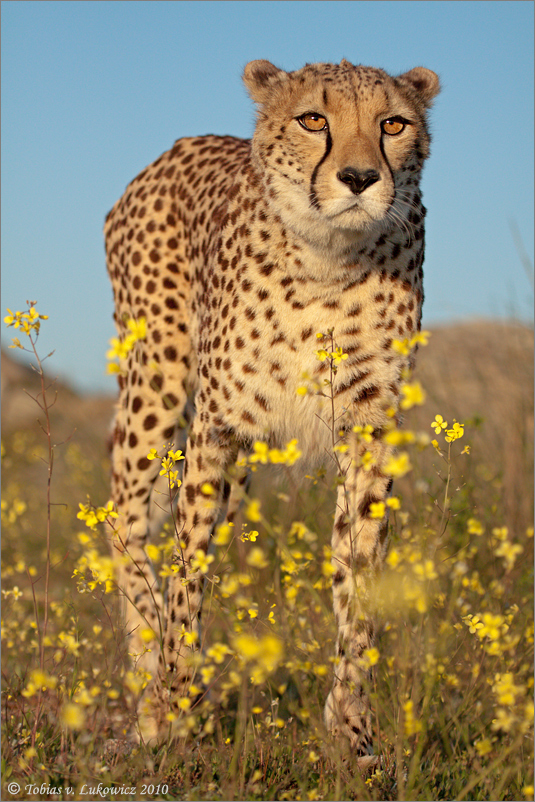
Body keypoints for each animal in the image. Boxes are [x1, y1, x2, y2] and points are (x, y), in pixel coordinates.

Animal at [104, 59, 440, 760]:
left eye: (393, 124)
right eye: (314, 119)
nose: (361, 178)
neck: (328, 260)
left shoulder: (370, 432)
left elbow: (358, 577)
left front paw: (352, 725)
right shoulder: (215, 428)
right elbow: (187, 577)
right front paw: (172, 702)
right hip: (158, 381)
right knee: (125, 519)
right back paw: (148, 672)